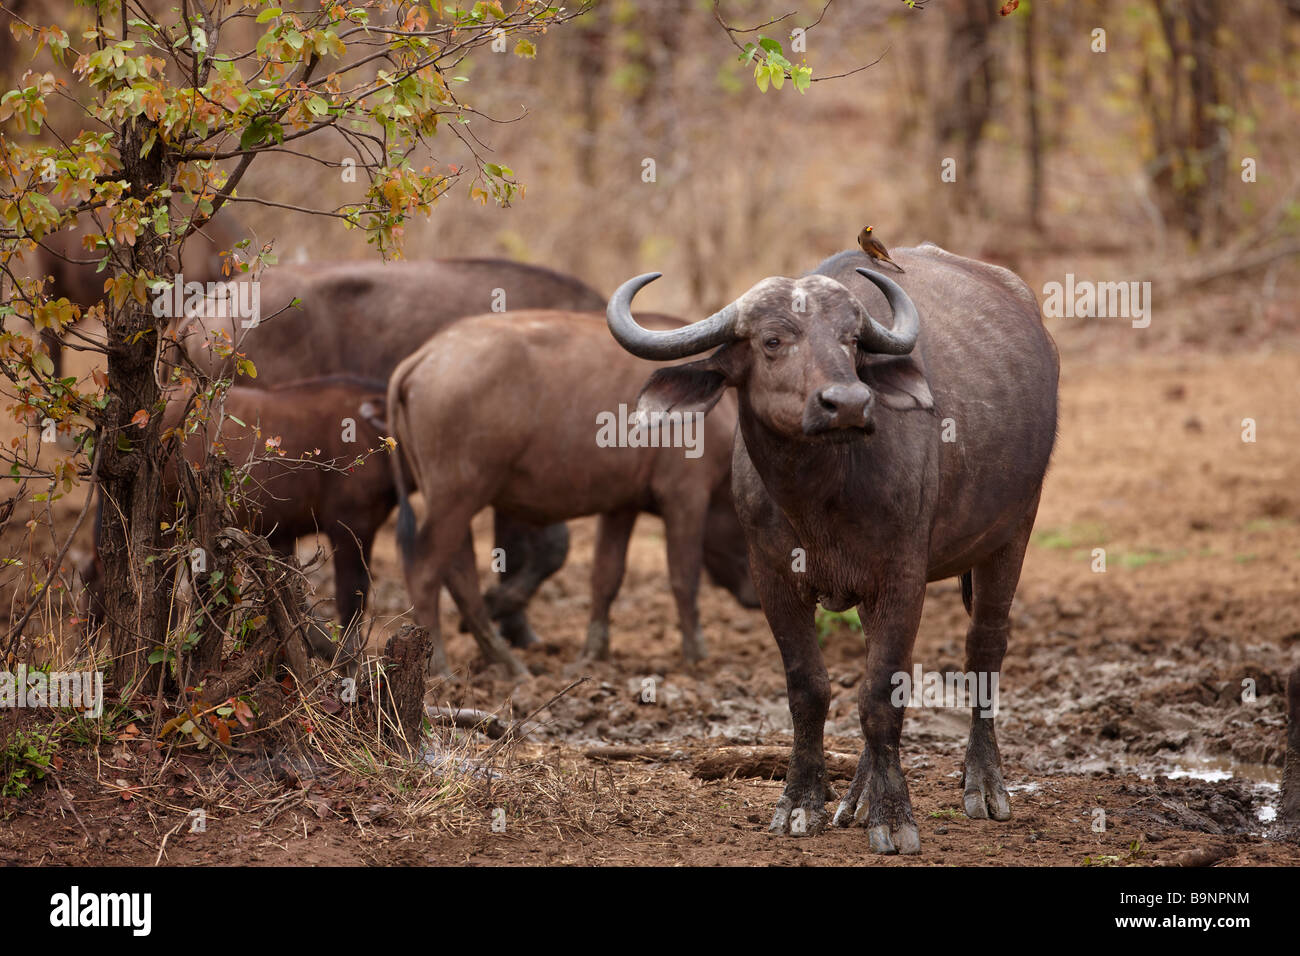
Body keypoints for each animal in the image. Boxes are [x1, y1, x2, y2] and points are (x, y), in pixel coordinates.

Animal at [384, 310, 759, 676]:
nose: (756, 597)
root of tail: (425, 355)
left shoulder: (621, 505)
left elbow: (606, 576)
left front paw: (595, 653)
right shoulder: (686, 496)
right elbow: (685, 576)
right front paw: (698, 656)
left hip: (454, 501)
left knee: (460, 576)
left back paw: (507, 663)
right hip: (457, 499)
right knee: (425, 570)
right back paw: (440, 666)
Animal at [603, 243, 1060, 858]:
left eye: (850, 340)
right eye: (772, 340)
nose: (847, 403)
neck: (819, 493)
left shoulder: (902, 575)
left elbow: (881, 696)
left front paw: (893, 817)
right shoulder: (773, 578)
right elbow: (810, 689)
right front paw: (802, 803)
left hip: (1014, 529)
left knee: (984, 646)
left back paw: (984, 786)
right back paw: (858, 796)